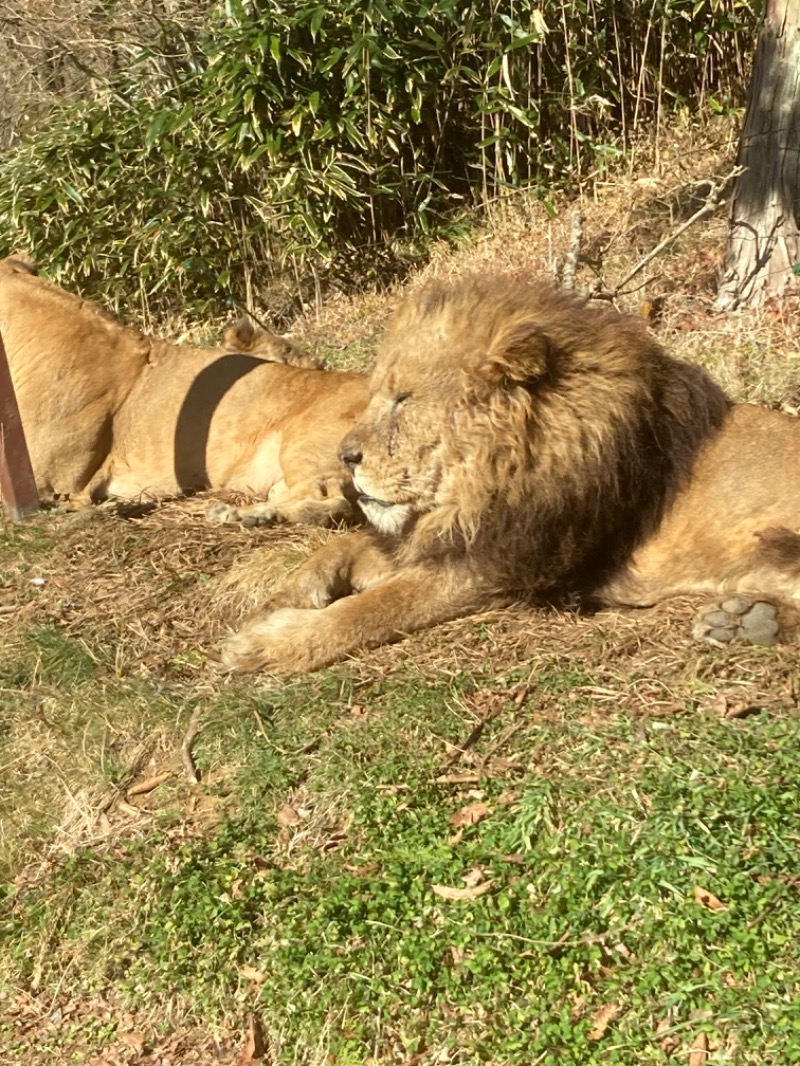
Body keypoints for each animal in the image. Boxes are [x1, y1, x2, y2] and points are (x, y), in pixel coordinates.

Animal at [222, 275, 800, 673]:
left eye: (404, 399)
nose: (345, 456)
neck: (486, 483)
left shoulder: (495, 566)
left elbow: (375, 608)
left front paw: (269, 645)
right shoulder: (447, 536)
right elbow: (335, 550)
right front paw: (282, 597)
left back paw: (746, 621)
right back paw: (745, 620)